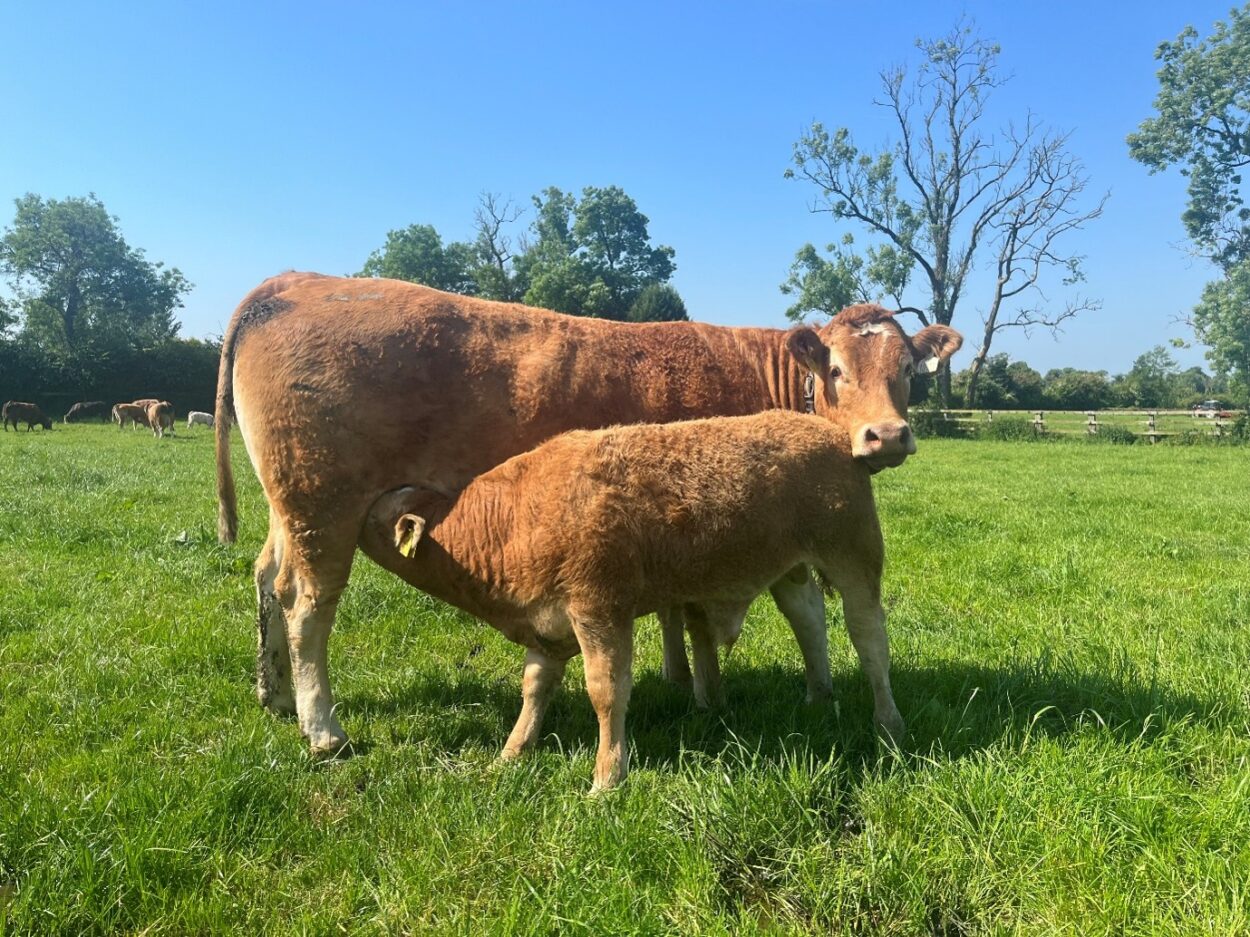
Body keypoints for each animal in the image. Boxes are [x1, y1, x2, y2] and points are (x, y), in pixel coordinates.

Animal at [358, 409, 900, 791]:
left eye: (374, 515)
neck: (509, 520)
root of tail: (830, 433)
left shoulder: (600, 610)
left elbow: (607, 691)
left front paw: (607, 777)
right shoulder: (546, 626)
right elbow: (534, 688)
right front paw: (511, 754)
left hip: (854, 559)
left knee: (869, 638)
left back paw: (888, 723)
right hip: (789, 570)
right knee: (809, 622)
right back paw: (818, 696)